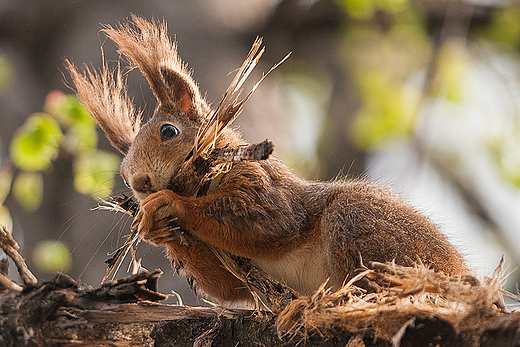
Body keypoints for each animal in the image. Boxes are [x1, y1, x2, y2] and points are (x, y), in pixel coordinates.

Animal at [65, 17, 468, 308]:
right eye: (121, 173)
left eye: (168, 131)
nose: (139, 183)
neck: (202, 183)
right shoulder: (232, 270)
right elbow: (226, 287)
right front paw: (155, 229)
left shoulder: (264, 183)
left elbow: (265, 223)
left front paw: (169, 204)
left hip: (360, 223)